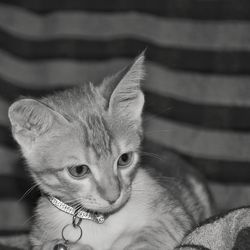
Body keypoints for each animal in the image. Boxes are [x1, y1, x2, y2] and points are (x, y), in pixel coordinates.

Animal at [8, 53, 213, 249]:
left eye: (124, 159)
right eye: (79, 170)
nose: (113, 197)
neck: (99, 221)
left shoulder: (175, 215)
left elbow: (151, 236)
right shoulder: (39, 237)